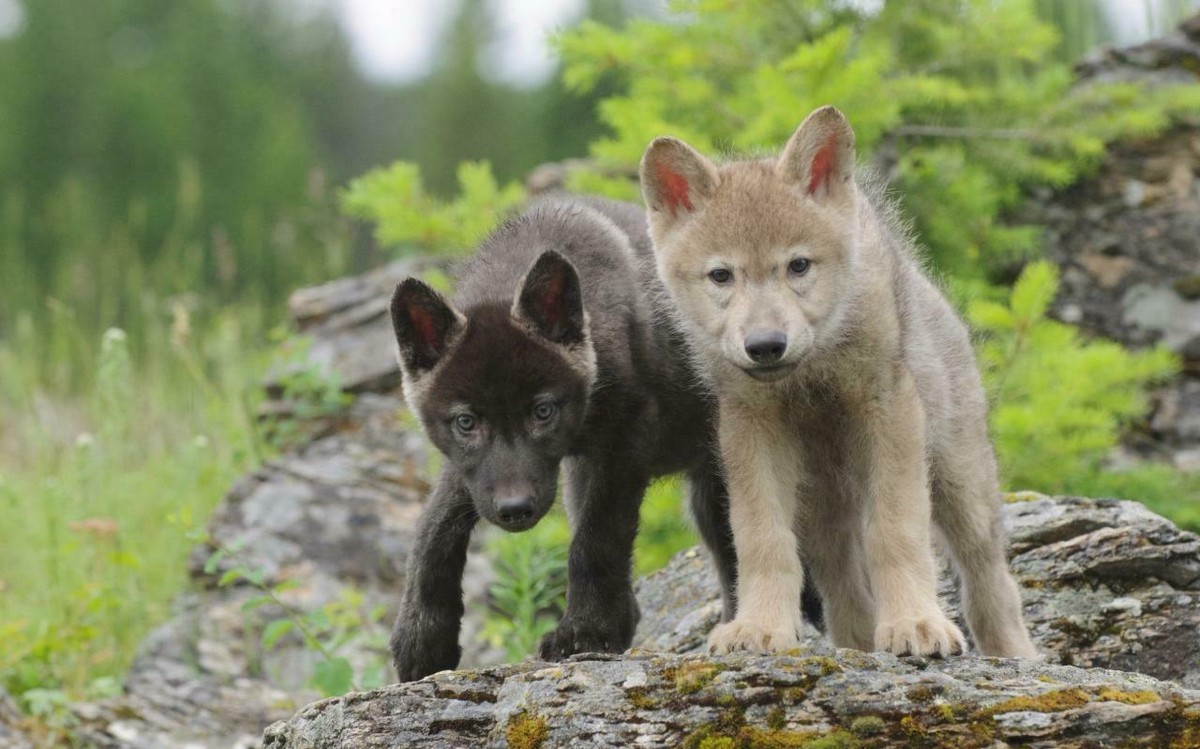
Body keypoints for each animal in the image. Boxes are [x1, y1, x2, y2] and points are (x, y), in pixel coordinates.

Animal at [388, 196, 818, 682]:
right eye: (465, 422)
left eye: (542, 411)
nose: (515, 510)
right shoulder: (474, 471)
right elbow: (433, 530)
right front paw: (423, 639)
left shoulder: (624, 440)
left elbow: (595, 539)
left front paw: (587, 631)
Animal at [638, 106, 1037, 658]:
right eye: (721, 276)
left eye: (799, 265)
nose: (766, 345)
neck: (813, 371)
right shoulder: (750, 426)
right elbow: (761, 539)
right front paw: (759, 626)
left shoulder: (889, 409)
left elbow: (896, 531)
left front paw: (915, 623)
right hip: (822, 505)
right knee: (843, 584)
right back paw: (859, 646)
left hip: (961, 480)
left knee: (989, 578)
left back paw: (1013, 655)